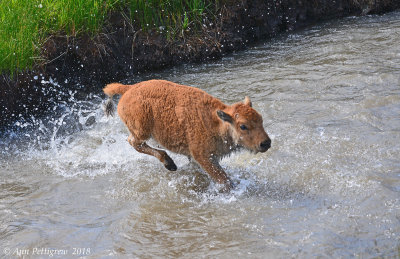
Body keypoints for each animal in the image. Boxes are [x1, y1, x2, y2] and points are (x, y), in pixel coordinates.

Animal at [103, 80, 272, 192]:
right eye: (243, 126)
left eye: (261, 119)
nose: (265, 143)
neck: (216, 123)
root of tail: (129, 88)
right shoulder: (204, 156)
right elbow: (223, 179)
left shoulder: (197, 157)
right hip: (141, 131)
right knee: (134, 142)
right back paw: (169, 163)